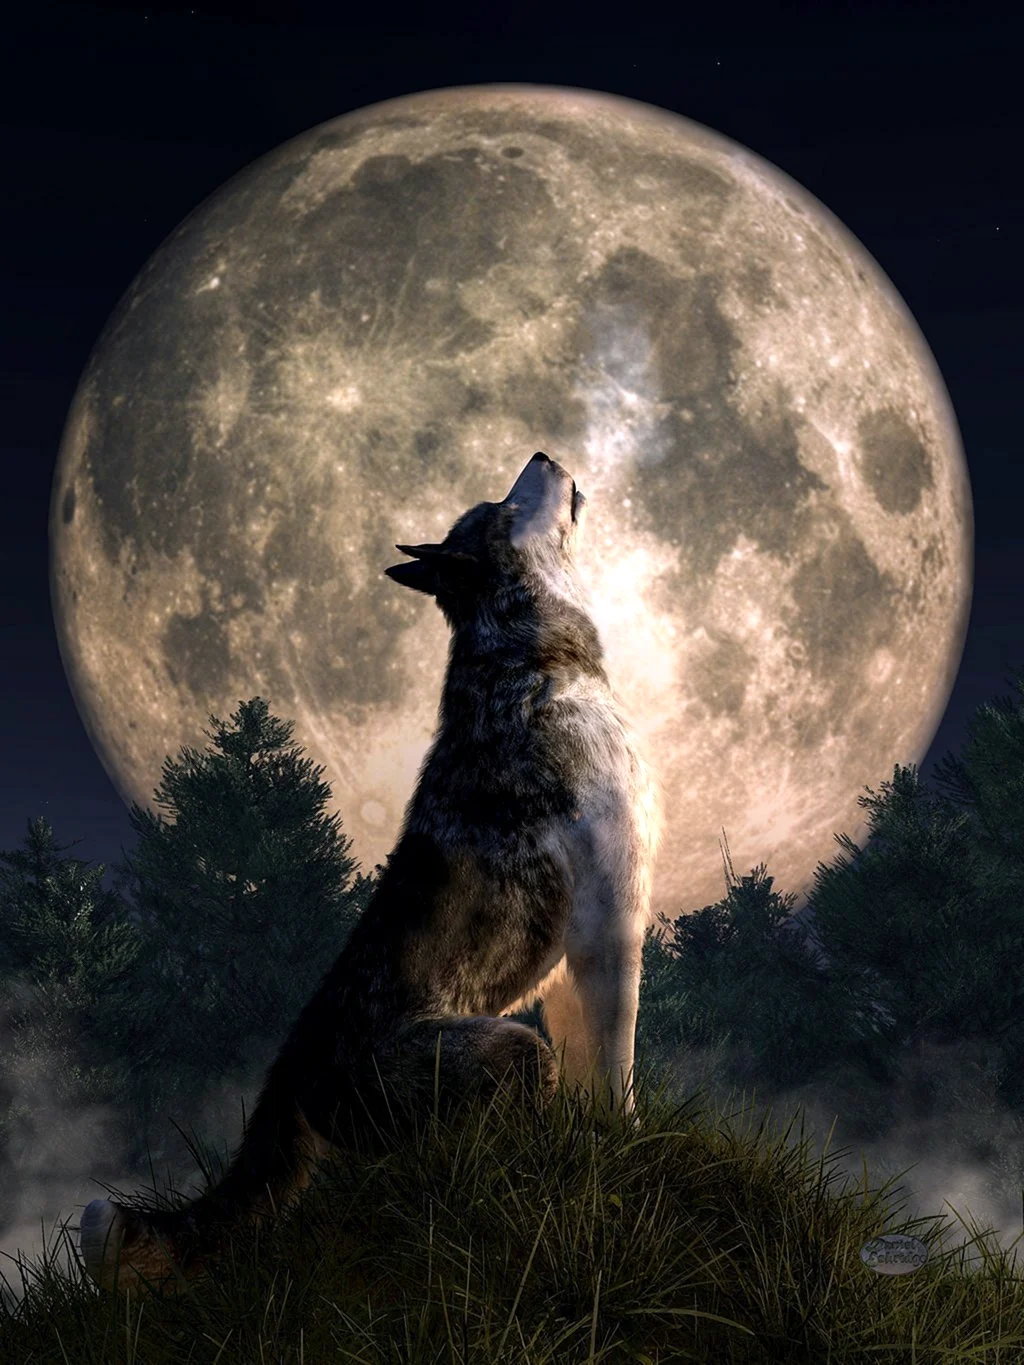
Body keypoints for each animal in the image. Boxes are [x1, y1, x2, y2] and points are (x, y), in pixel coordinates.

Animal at [80, 451, 663, 1295]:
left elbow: (596, 1066)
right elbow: (619, 1070)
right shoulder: (608, 931)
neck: (523, 656)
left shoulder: (567, 971)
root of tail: (289, 1065)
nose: (544, 455)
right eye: (503, 506)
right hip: (510, 1050)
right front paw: (629, 1144)